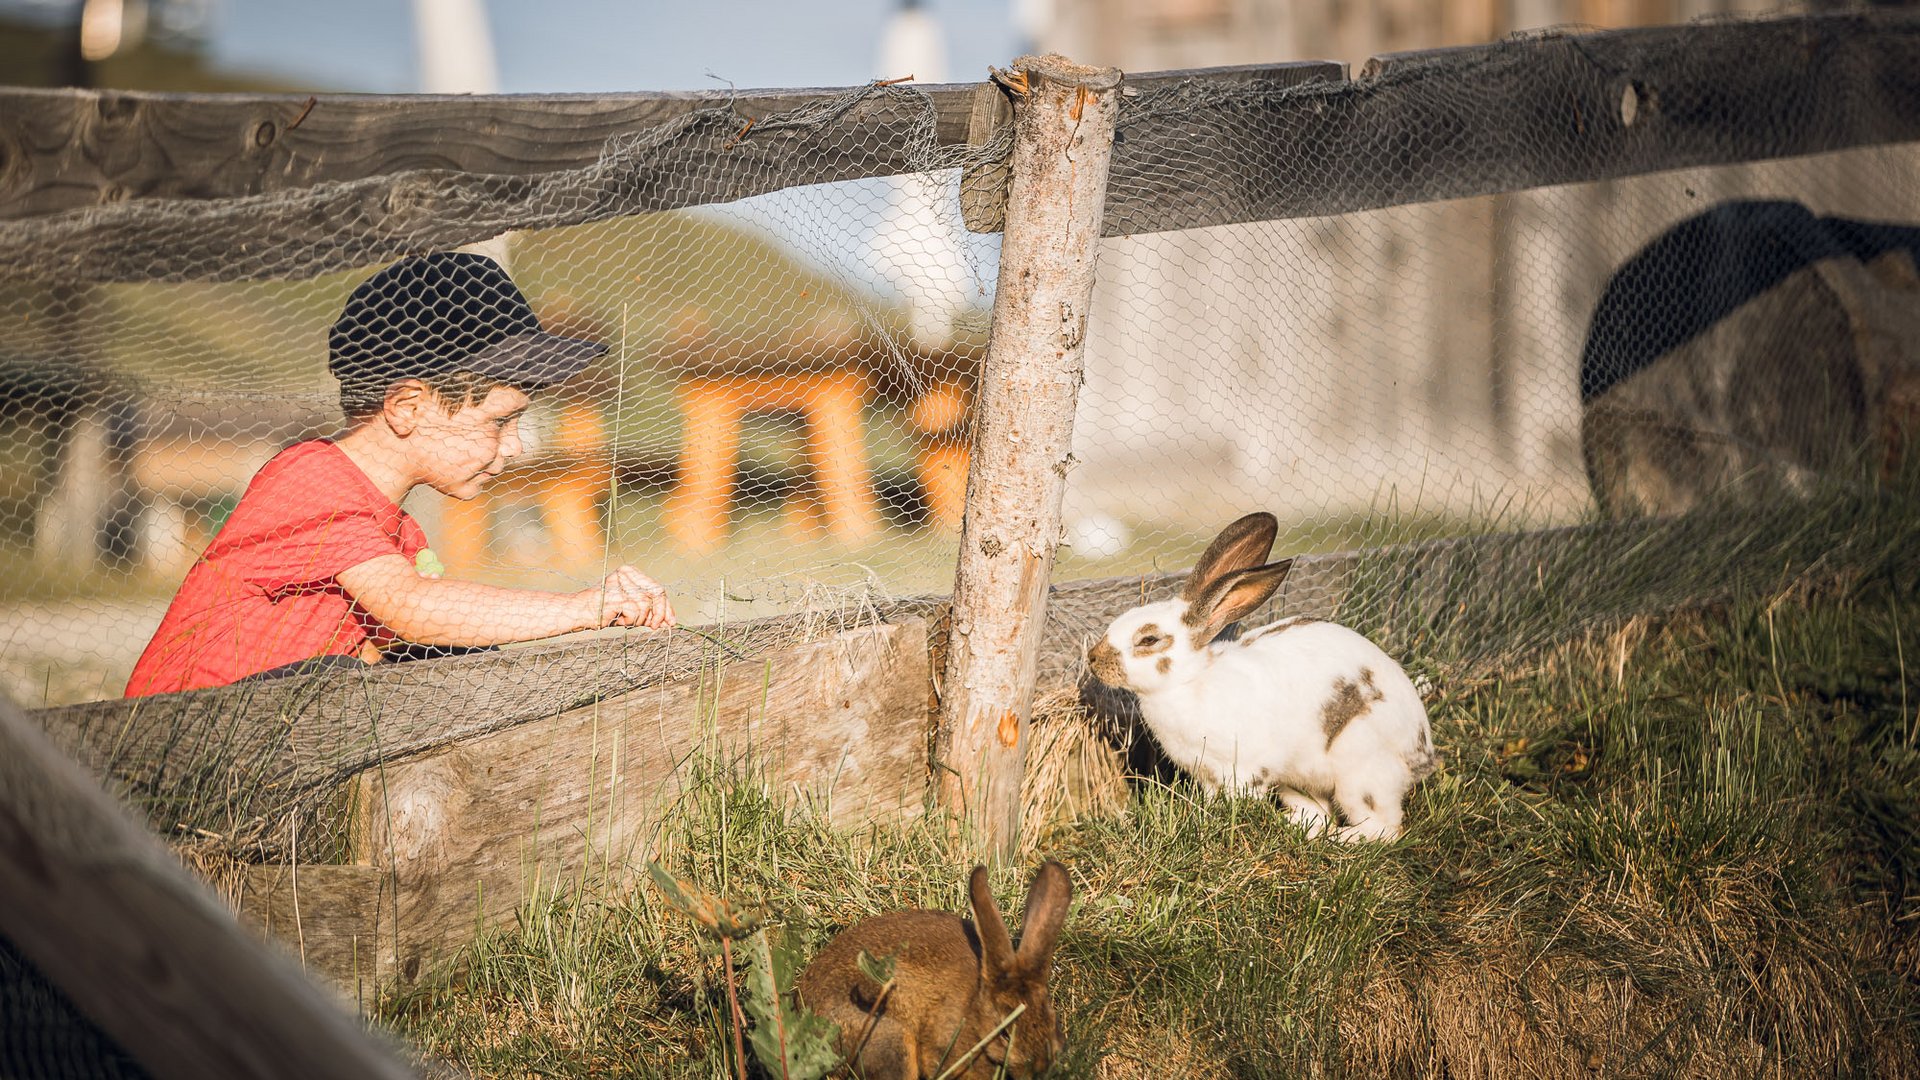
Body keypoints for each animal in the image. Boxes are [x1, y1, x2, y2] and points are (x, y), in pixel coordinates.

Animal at [1086, 512, 1437, 841]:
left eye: (1148, 640)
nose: (1092, 659)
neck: (1188, 683)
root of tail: (1422, 753)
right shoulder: (1208, 775)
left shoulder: (1244, 771)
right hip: (1299, 782)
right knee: (1321, 813)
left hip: (1361, 773)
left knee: (1384, 828)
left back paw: (1341, 838)